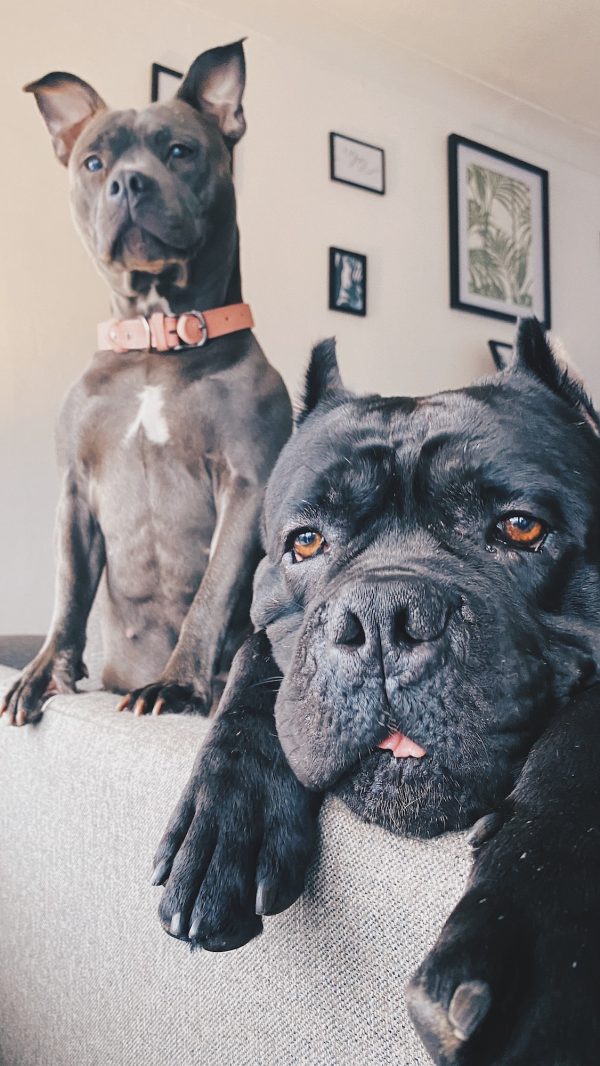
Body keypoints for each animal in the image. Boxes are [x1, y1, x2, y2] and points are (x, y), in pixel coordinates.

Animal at [0, 39, 292, 724]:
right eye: (93, 160)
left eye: (180, 151)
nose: (127, 181)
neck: (158, 339)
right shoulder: (75, 491)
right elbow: (68, 592)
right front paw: (44, 673)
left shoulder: (245, 484)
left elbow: (210, 595)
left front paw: (176, 684)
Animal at [150, 319, 600, 1061]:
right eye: (305, 542)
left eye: (520, 526)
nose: (386, 615)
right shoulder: (265, 631)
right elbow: (255, 665)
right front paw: (223, 820)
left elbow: (578, 750)